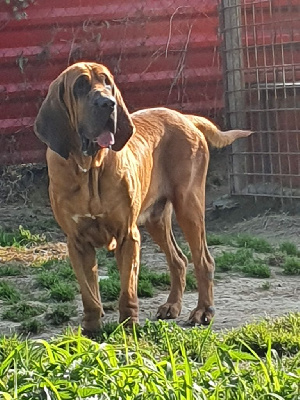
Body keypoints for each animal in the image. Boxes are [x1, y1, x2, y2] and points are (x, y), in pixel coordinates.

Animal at [34, 61, 252, 334]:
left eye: (107, 83)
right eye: (80, 86)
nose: (108, 103)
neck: (89, 169)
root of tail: (185, 117)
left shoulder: (127, 235)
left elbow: (127, 288)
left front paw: (128, 326)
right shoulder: (77, 243)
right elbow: (89, 293)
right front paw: (92, 329)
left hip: (189, 207)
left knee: (203, 261)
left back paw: (203, 311)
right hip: (156, 219)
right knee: (178, 260)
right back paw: (172, 306)